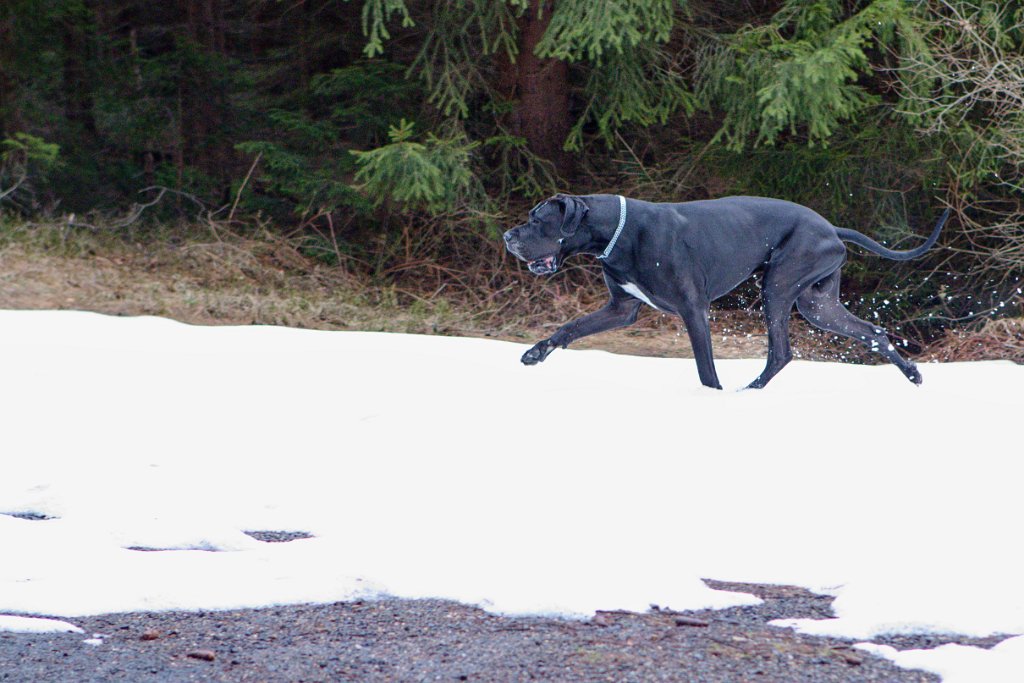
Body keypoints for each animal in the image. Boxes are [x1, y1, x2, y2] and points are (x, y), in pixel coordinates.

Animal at [499, 194, 946, 393]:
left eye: (537, 219)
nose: (507, 236)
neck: (618, 231)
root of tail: (831, 227)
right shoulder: (620, 308)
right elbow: (571, 327)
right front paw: (534, 353)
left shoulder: (693, 309)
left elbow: (704, 368)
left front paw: (711, 398)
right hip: (817, 303)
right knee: (873, 332)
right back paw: (913, 374)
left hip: (779, 286)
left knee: (781, 351)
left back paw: (748, 393)